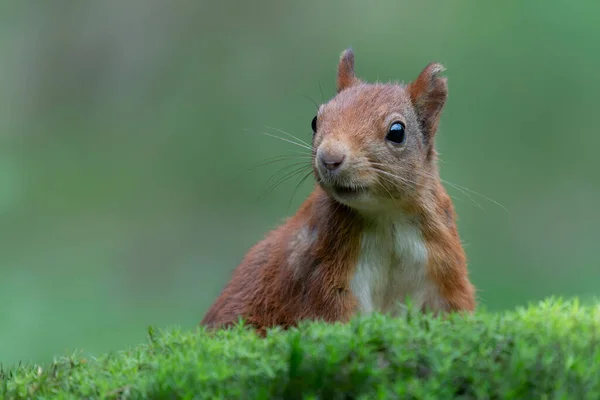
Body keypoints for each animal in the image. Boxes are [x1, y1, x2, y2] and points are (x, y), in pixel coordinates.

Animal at [202, 48, 474, 332]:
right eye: (315, 120)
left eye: (397, 132)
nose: (329, 157)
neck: (387, 217)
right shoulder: (321, 271)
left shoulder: (444, 266)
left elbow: (455, 304)